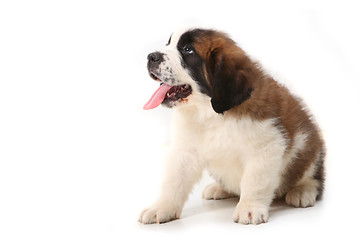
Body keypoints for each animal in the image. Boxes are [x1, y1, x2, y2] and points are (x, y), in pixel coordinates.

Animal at [139, 28, 324, 225]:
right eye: (168, 44)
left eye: (188, 50)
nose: (151, 56)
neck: (211, 114)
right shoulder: (186, 150)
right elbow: (175, 180)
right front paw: (161, 207)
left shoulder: (267, 145)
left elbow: (254, 180)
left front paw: (250, 208)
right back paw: (220, 188)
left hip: (309, 150)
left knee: (312, 177)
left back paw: (302, 191)